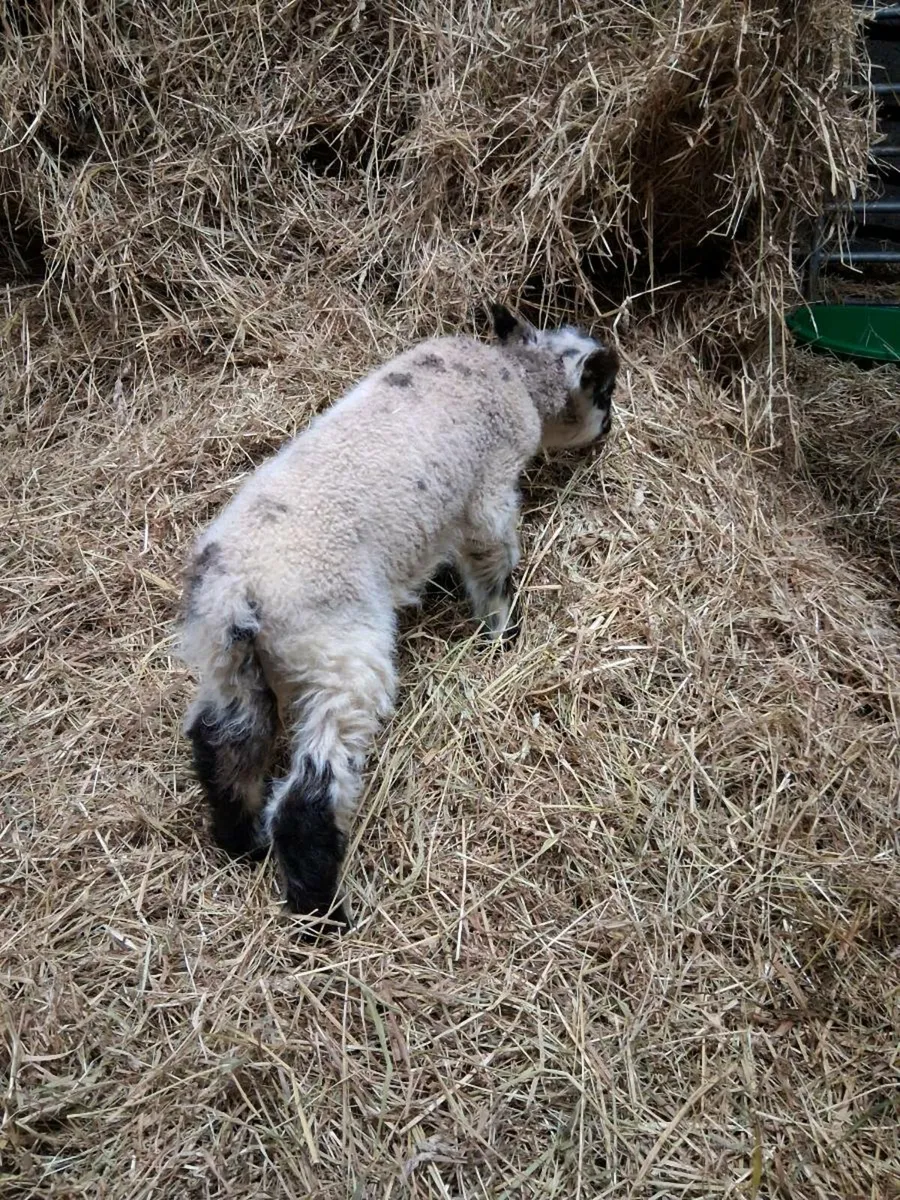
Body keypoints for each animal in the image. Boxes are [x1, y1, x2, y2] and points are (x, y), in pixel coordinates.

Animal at [178, 303, 618, 931]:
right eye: (604, 389)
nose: (608, 430)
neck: (513, 375)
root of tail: (238, 591)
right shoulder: (488, 493)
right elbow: (492, 562)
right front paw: (503, 632)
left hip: (228, 666)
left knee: (222, 745)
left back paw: (243, 842)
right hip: (340, 650)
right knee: (308, 796)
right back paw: (324, 914)